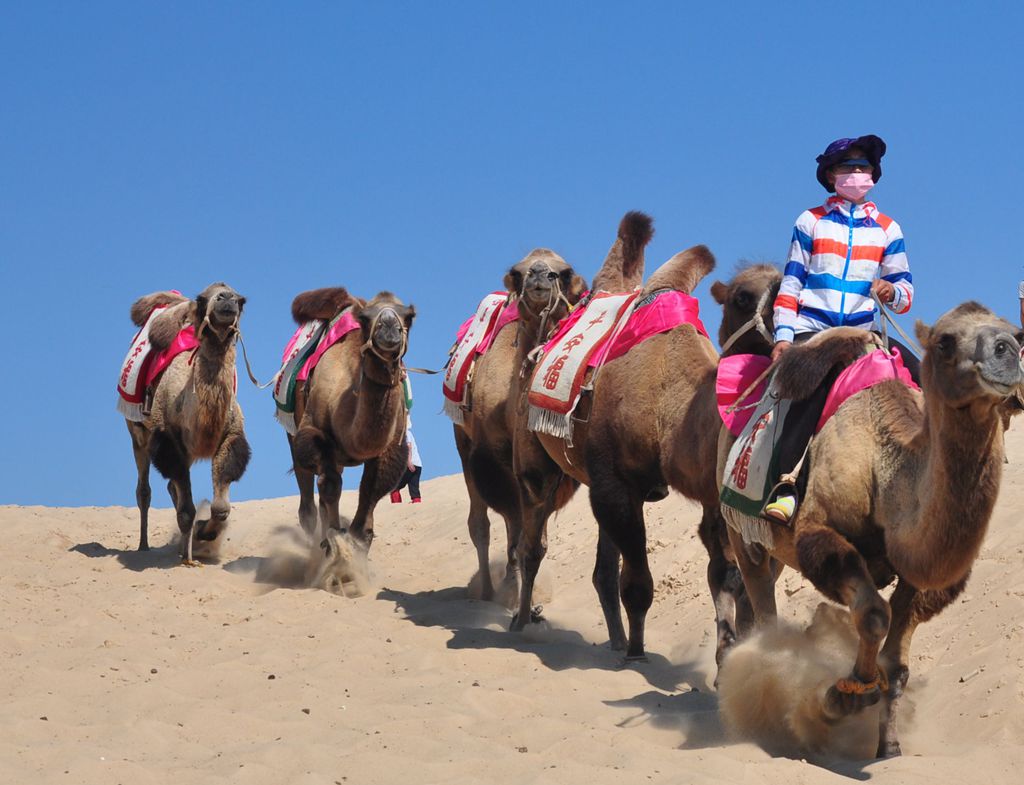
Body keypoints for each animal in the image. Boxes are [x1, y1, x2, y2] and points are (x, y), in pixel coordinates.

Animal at [124, 282, 251, 564]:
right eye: (203, 299)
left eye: (241, 300)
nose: (226, 299)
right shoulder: (168, 440)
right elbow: (186, 510)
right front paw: (189, 558)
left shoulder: (230, 436)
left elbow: (220, 507)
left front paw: (204, 532)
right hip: (138, 434)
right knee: (144, 490)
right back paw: (144, 546)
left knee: (172, 486)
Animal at [288, 288, 415, 548]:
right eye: (365, 318)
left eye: (409, 317)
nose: (389, 327)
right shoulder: (312, 432)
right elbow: (330, 486)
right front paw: (333, 542)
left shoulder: (390, 448)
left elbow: (369, 498)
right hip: (292, 432)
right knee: (308, 503)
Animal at [452, 245, 589, 601]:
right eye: (518, 271)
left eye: (565, 272)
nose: (541, 275)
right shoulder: (491, 457)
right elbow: (510, 523)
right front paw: (510, 590)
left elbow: (530, 532)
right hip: (463, 440)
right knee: (481, 522)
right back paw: (487, 589)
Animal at [720, 302, 1024, 757]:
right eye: (945, 341)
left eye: (1015, 334)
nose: (1008, 351)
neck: (884, 469)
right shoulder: (819, 532)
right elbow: (875, 615)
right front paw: (843, 697)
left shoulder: (917, 575)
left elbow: (897, 665)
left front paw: (889, 747)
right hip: (741, 529)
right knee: (762, 601)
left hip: (773, 545)